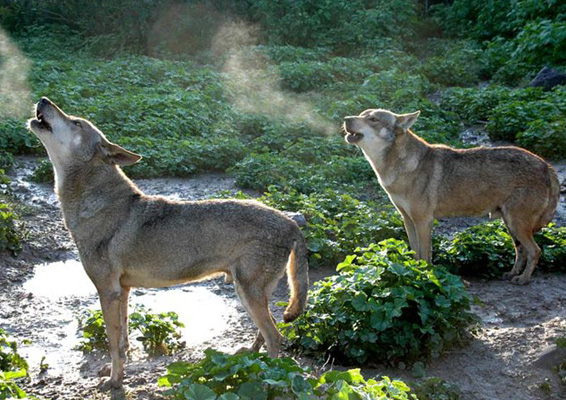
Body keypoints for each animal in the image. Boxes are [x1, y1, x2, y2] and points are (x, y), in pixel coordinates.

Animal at [27, 97, 310, 390]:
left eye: (76, 122)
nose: (44, 99)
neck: (93, 203)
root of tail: (291, 222)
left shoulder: (108, 291)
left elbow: (113, 344)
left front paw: (115, 381)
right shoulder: (123, 291)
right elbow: (123, 341)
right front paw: (116, 372)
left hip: (248, 292)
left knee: (275, 337)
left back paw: (267, 381)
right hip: (251, 293)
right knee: (267, 331)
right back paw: (250, 358)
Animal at [344, 108, 560, 286]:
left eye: (372, 119)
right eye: (361, 114)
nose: (346, 119)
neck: (399, 167)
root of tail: (546, 165)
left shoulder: (424, 221)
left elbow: (425, 255)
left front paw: (424, 275)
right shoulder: (408, 220)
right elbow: (414, 252)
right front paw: (413, 272)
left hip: (516, 225)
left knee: (536, 250)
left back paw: (523, 279)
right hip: (510, 225)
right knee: (521, 251)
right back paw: (512, 274)